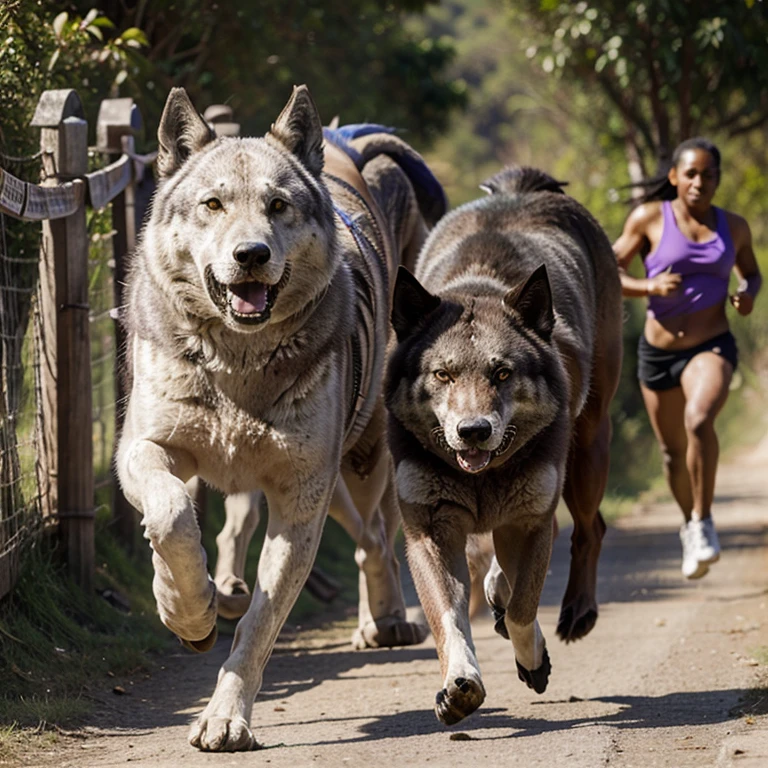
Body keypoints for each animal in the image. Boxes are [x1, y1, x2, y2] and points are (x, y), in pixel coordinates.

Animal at [117, 85, 448, 752]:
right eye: (212, 204)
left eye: (278, 206)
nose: (251, 254)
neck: (237, 369)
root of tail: (347, 144)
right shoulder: (147, 447)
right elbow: (171, 517)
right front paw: (187, 609)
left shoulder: (301, 493)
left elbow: (260, 626)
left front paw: (225, 718)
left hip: (356, 463)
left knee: (375, 538)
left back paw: (385, 620)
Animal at [384, 166, 624, 728]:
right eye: (442, 374)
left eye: (502, 373)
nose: (473, 431)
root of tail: (523, 187)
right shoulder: (429, 529)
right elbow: (450, 618)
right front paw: (460, 684)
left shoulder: (531, 519)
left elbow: (521, 607)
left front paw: (533, 660)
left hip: (588, 448)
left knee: (590, 529)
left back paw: (577, 611)